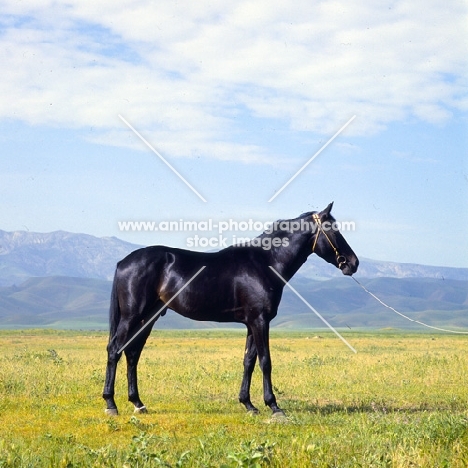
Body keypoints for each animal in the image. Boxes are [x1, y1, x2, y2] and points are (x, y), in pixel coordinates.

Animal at [103, 203, 358, 414]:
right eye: (333, 230)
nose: (353, 263)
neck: (266, 262)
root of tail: (123, 262)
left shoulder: (251, 323)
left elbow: (249, 362)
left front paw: (249, 404)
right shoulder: (260, 320)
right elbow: (265, 361)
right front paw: (273, 406)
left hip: (148, 318)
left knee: (132, 353)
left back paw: (138, 403)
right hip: (132, 317)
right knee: (115, 349)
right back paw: (110, 404)